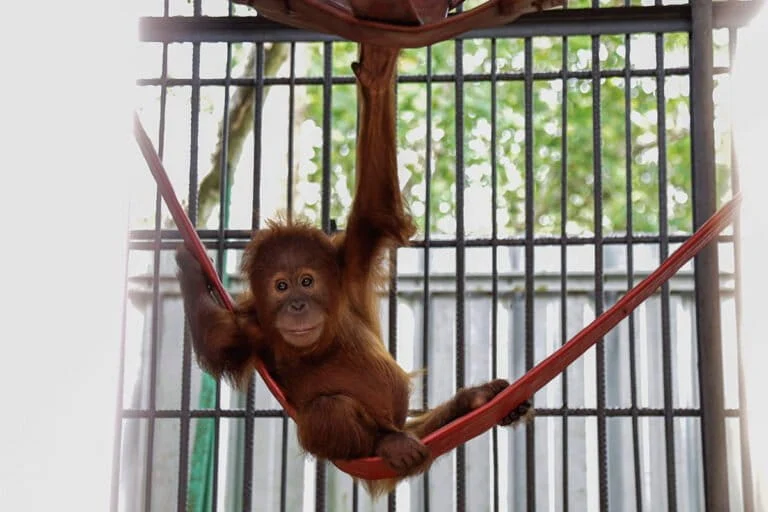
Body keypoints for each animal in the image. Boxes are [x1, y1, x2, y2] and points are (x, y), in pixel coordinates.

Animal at [174, 43, 532, 495]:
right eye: (281, 287)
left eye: (307, 281)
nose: (297, 306)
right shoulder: (248, 328)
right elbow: (216, 342)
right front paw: (187, 260)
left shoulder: (352, 263)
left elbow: (375, 207)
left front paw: (377, 78)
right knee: (331, 411)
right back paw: (389, 443)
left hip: (414, 428)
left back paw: (478, 402)